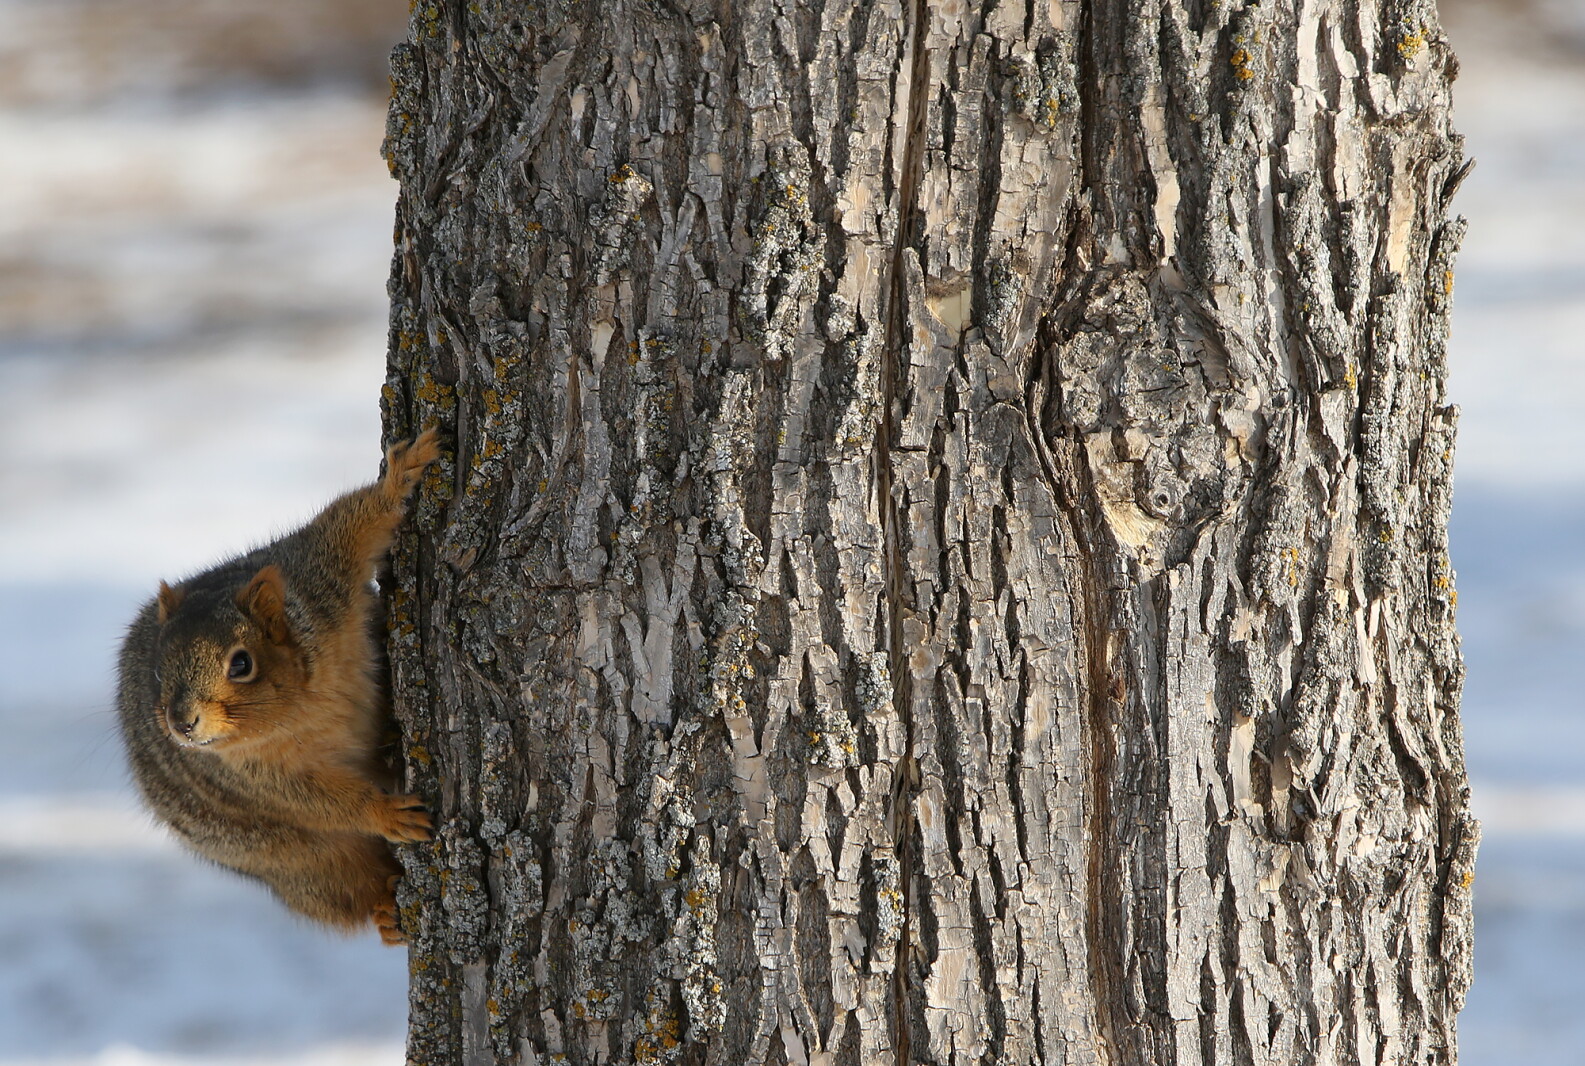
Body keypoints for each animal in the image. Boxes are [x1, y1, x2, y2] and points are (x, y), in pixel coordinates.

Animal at [115, 428, 440, 945]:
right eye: (158, 674)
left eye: (241, 663)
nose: (181, 724)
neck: (304, 701)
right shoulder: (254, 771)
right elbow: (315, 801)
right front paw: (387, 814)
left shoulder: (320, 580)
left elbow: (356, 522)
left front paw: (402, 474)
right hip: (303, 865)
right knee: (349, 894)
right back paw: (387, 913)